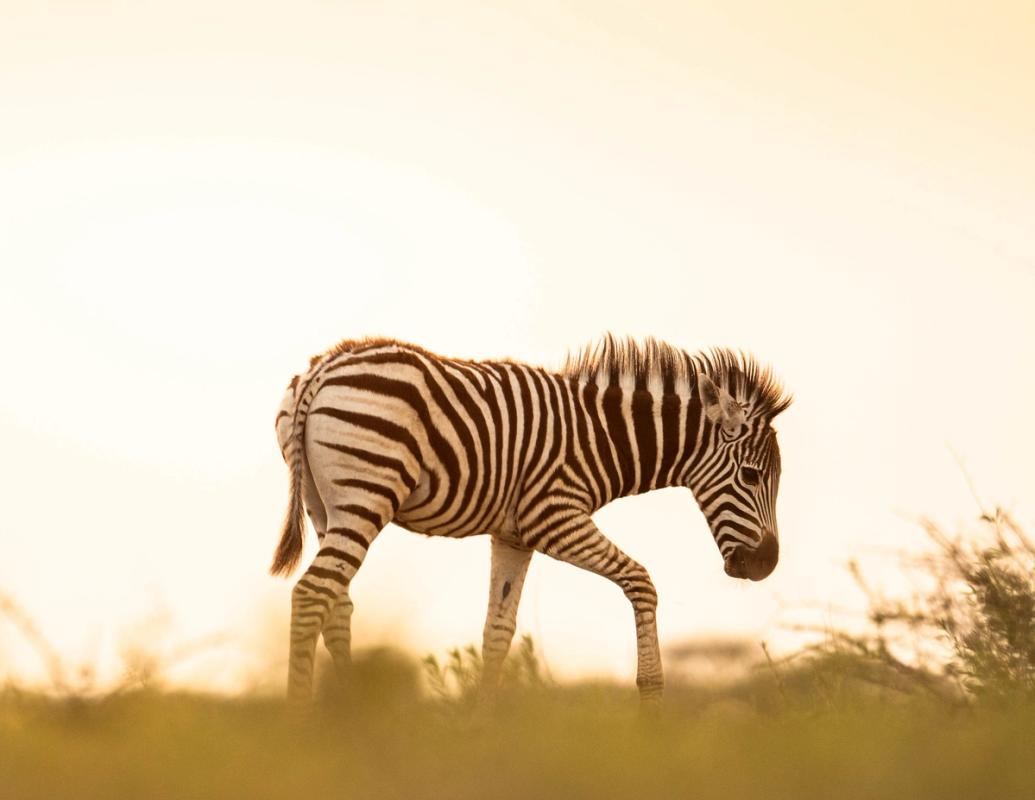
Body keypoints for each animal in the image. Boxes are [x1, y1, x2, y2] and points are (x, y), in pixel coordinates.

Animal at [271, 333, 786, 703]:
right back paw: (300, 726)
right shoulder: (553, 516)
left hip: (326, 507)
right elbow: (642, 582)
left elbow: (498, 632)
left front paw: (483, 732)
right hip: (367, 494)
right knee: (312, 594)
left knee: (336, 604)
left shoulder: (514, 536)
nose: (766, 566)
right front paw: (652, 700)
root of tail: (323, 366)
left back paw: (352, 718)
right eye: (751, 475)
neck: (601, 437)